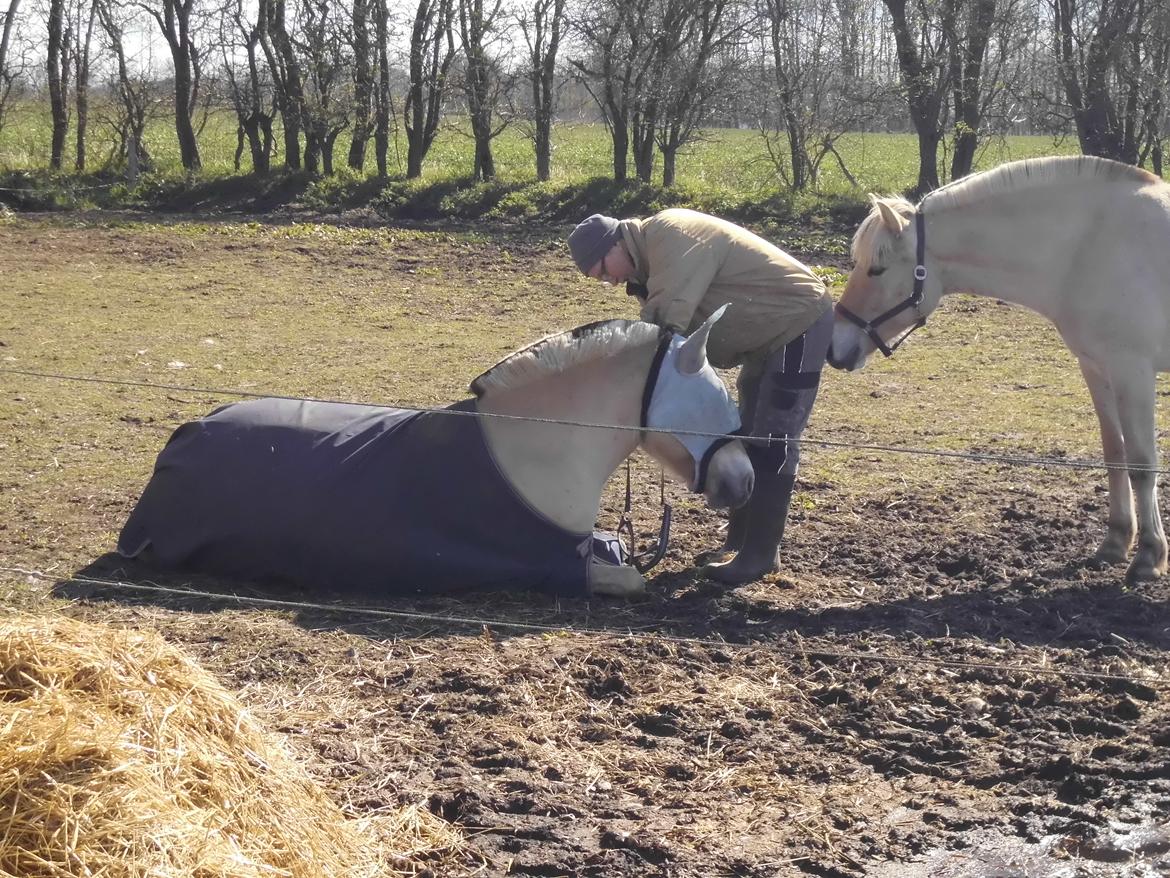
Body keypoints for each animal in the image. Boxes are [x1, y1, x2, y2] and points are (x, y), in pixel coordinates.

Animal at [118, 306, 753, 604]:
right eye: (715, 400)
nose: (744, 483)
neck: (532, 444)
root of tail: (188, 431)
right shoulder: (554, 565)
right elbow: (632, 578)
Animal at [828, 156, 1170, 585]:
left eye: (877, 269)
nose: (836, 349)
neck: (1091, 245)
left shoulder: (1131, 370)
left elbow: (1142, 464)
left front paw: (1148, 557)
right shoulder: (1096, 367)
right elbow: (1115, 454)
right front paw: (1115, 542)